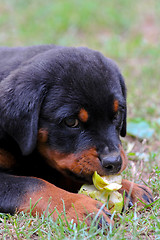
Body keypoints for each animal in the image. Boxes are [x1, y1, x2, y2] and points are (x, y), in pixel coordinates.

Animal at [0, 45, 153, 227]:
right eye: (71, 121)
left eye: (117, 115)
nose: (114, 163)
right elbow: (32, 184)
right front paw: (79, 206)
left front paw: (129, 188)